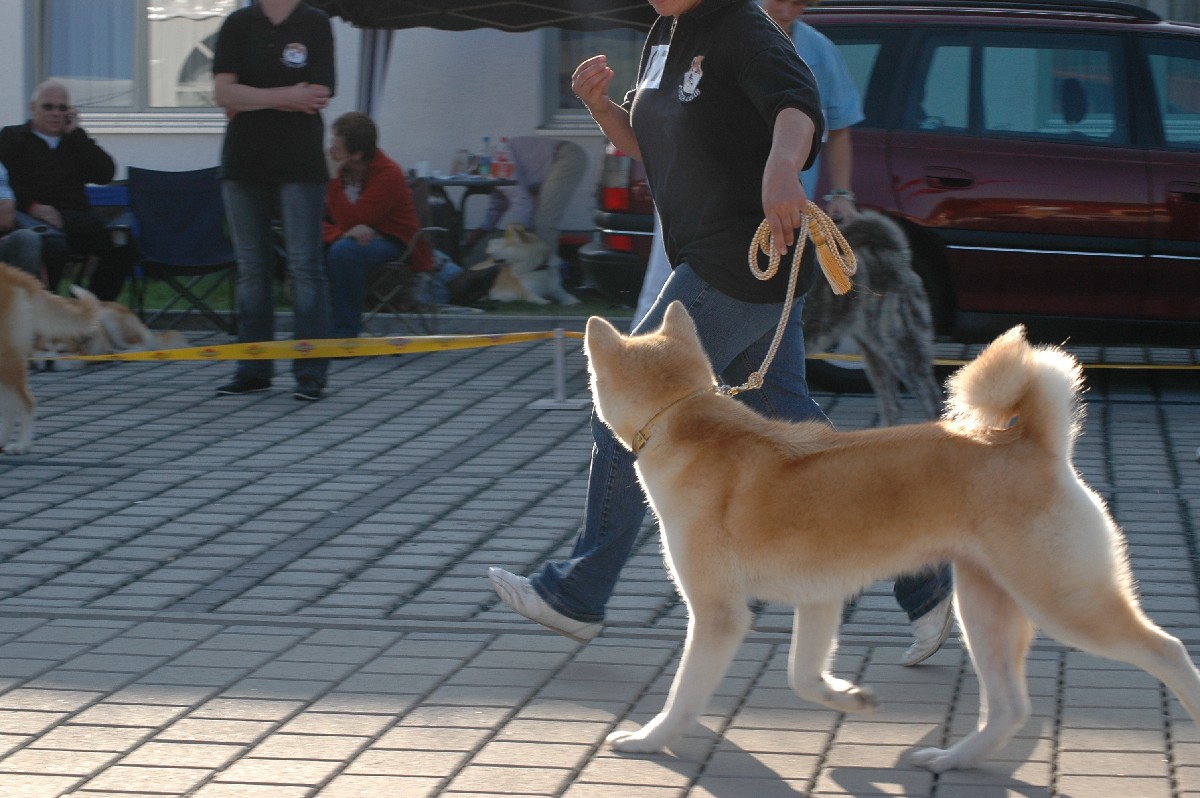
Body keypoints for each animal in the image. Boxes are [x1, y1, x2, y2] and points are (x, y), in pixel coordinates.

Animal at [584, 301, 1200, 773]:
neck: (682, 420)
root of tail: (1034, 444)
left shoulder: (718, 615)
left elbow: (684, 695)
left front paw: (649, 740)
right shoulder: (820, 598)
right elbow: (803, 676)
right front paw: (849, 698)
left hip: (1063, 602)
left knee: (1168, 651)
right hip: (986, 610)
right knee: (1009, 709)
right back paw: (951, 760)